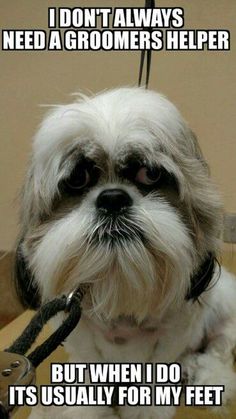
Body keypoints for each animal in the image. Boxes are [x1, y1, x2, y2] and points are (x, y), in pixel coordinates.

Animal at [14, 87, 236, 418]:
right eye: (77, 179)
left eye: (150, 173)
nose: (113, 198)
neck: (120, 296)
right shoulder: (81, 337)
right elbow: (89, 371)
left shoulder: (172, 336)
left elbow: (157, 369)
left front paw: (146, 408)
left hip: (223, 307)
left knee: (219, 346)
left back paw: (203, 372)